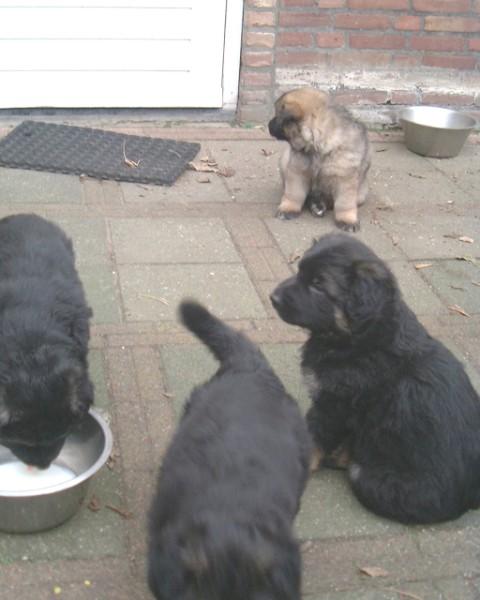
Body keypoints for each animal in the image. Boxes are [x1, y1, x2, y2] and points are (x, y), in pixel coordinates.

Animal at [268, 87, 371, 232]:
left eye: (277, 116)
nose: (268, 125)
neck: (318, 146)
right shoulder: (297, 172)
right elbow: (293, 193)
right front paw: (288, 209)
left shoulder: (345, 179)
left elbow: (344, 203)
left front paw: (347, 220)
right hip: (284, 161)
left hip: (361, 194)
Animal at [270, 233, 480, 524]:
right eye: (300, 271)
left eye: (318, 284)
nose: (273, 297)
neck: (361, 337)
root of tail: (470, 499)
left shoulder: (333, 406)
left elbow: (313, 440)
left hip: (368, 479)